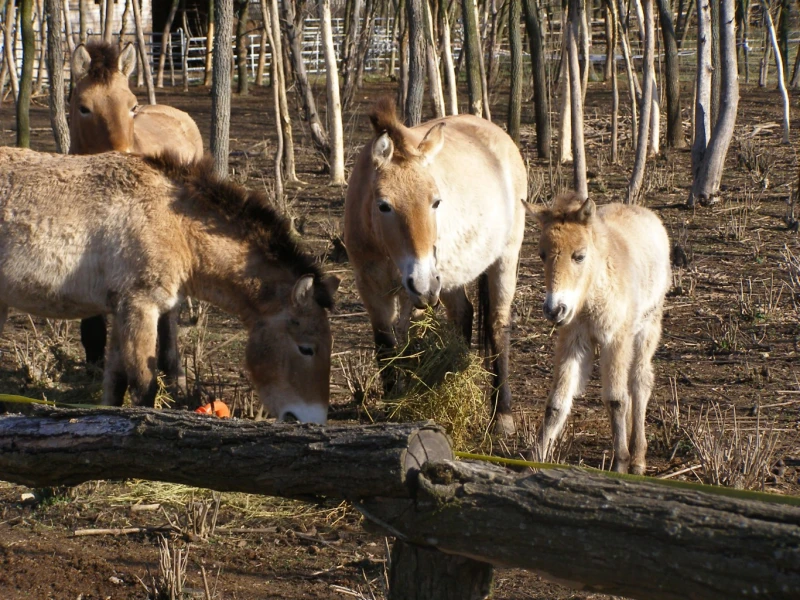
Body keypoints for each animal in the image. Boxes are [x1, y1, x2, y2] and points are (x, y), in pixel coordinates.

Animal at [0, 148, 340, 424]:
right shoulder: (141, 307)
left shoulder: (121, 310)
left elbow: (116, 384)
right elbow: (143, 387)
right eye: (306, 348)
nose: (312, 419)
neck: (176, 225)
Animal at [346, 98, 528, 436]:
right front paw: (393, 408)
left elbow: (409, 345)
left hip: (502, 259)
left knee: (497, 324)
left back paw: (502, 416)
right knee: (463, 314)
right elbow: (386, 349)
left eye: (436, 202)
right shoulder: (373, 291)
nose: (423, 283)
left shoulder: (417, 295)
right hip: (449, 280)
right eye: (384, 205)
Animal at [528, 192, 672, 474]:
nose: (554, 309)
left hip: (647, 328)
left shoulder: (615, 340)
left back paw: (637, 458)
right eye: (541, 255)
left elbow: (616, 400)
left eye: (579, 256)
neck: (590, 299)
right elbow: (556, 403)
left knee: (639, 382)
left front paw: (620, 463)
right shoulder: (572, 341)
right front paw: (535, 459)